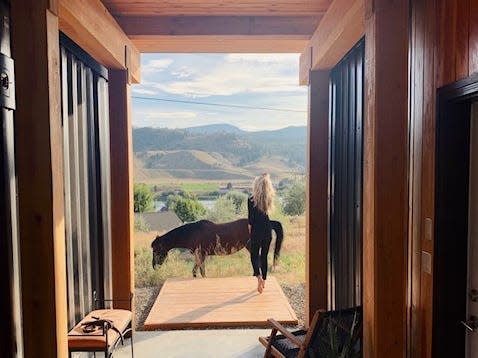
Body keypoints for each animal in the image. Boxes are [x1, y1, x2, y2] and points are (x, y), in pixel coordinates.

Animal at [151, 218, 282, 276]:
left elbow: (200, 271)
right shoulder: (200, 256)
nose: (154, 266)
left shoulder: (201, 255)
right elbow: (197, 270)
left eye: (156, 250)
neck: (192, 233)